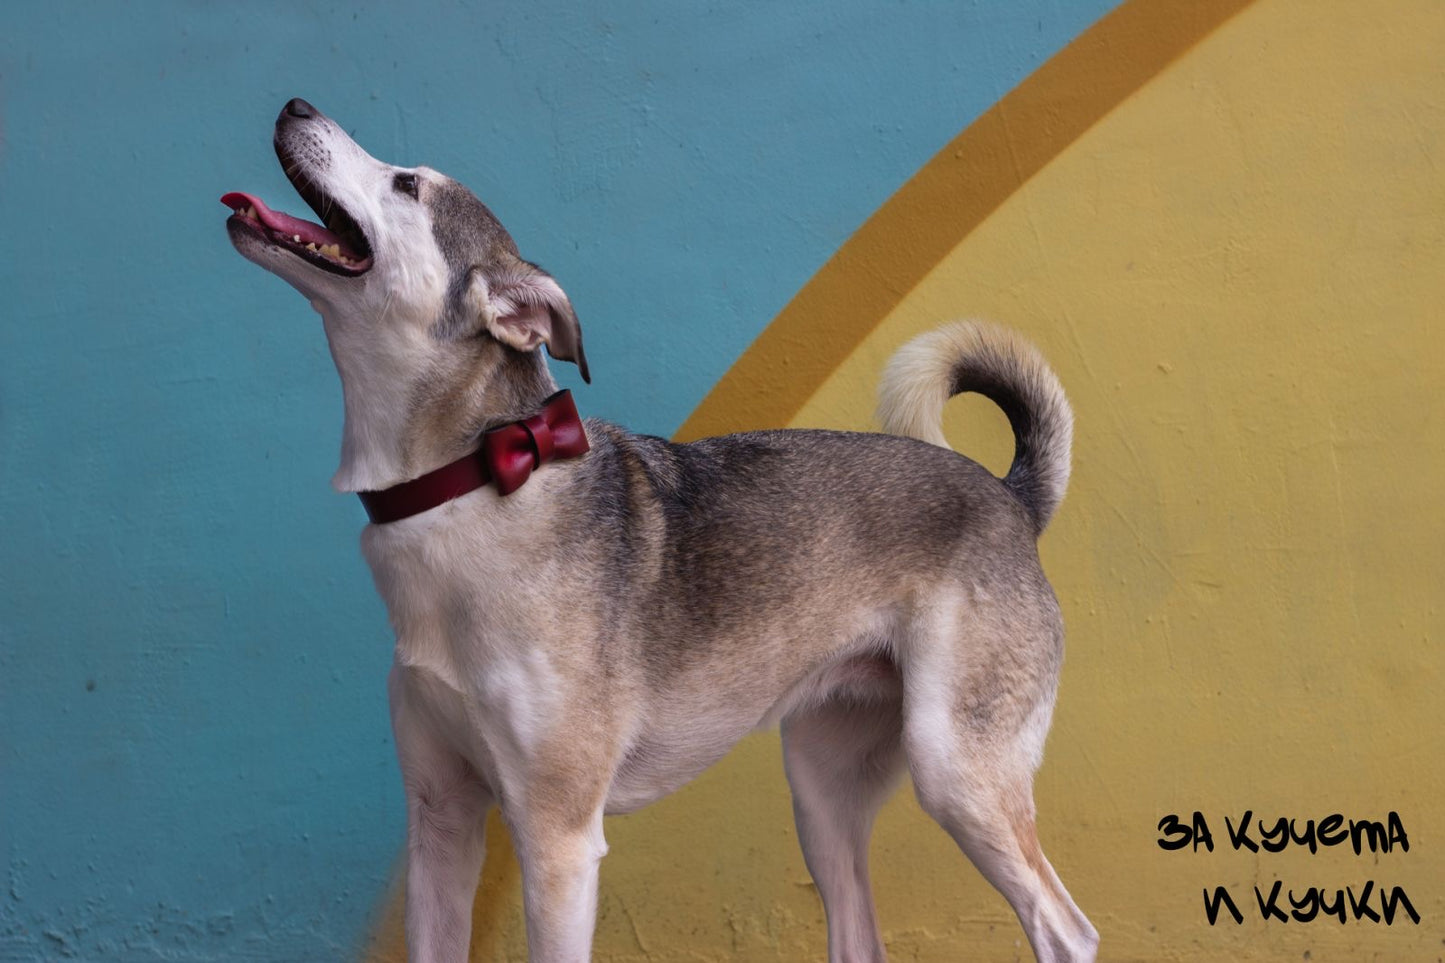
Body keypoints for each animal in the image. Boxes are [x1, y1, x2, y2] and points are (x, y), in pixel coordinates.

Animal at [222, 99, 1092, 960]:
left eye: (406, 184)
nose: (295, 104)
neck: (466, 483)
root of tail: (1010, 498)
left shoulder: (558, 838)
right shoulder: (441, 822)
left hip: (956, 771)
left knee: (1065, 928)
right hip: (822, 792)